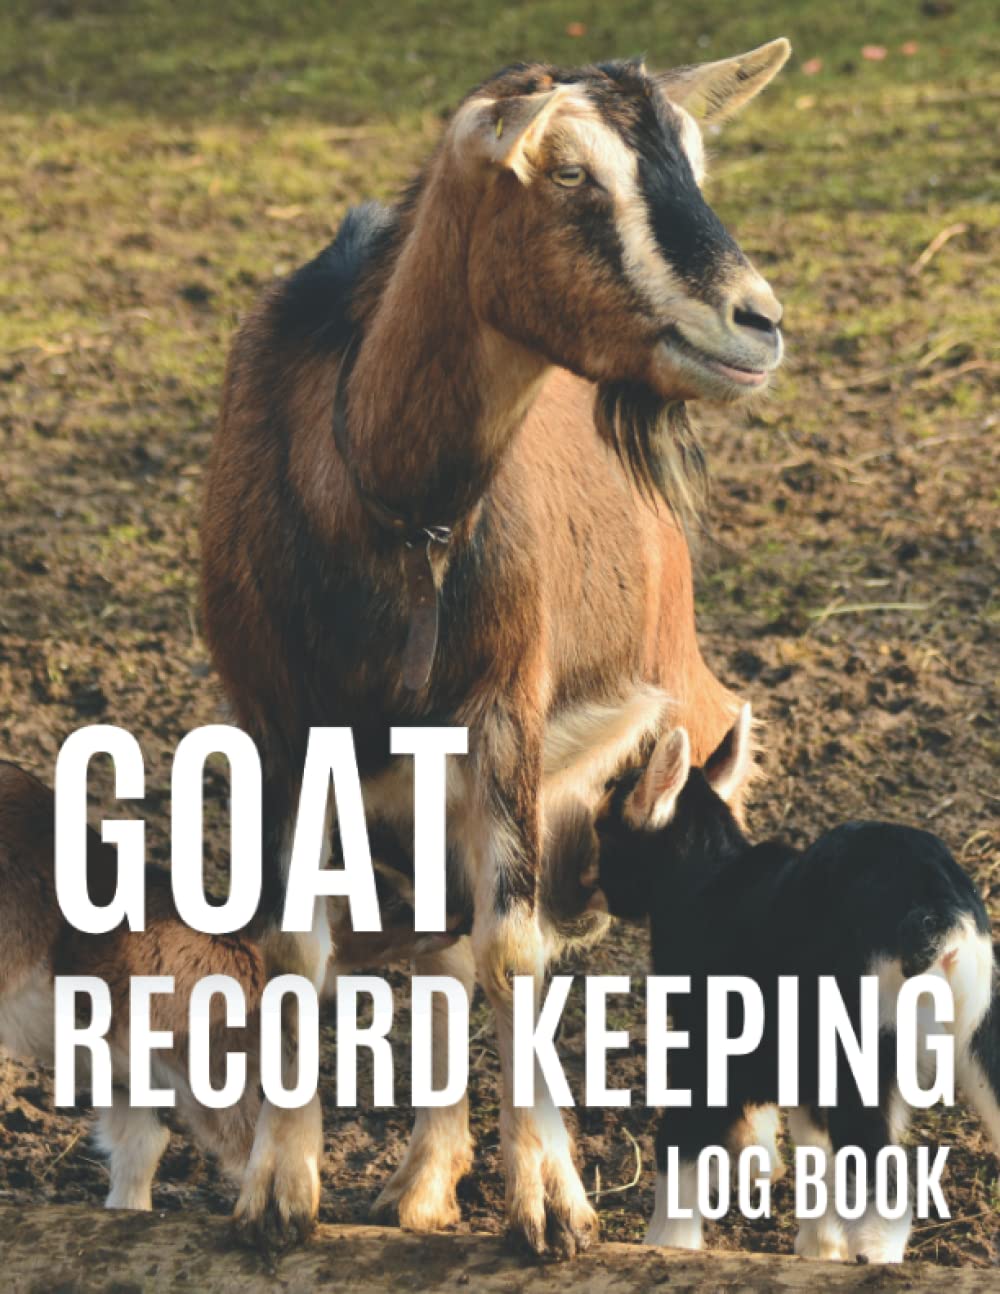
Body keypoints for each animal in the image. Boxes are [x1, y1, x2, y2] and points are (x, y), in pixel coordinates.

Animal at [201, 40, 791, 1255]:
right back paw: (423, 1181)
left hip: (687, 709)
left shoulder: (505, 702)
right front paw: (281, 1190)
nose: (756, 323)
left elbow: (510, 944)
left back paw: (741, 1153)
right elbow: (295, 946)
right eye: (567, 173)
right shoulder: (274, 717)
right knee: (438, 948)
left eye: (695, 157)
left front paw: (552, 1202)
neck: (381, 504)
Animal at [583, 707, 1000, 1262]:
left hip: (861, 1053)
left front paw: (666, 1248)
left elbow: (681, 1149)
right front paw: (819, 1249)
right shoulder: (805, 1071)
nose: (584, 889)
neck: (706, 882)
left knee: (886, 1192)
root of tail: (938, 912)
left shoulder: (709, 1054)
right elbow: (815, 1152)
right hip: (981, 1034)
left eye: (602, 828)